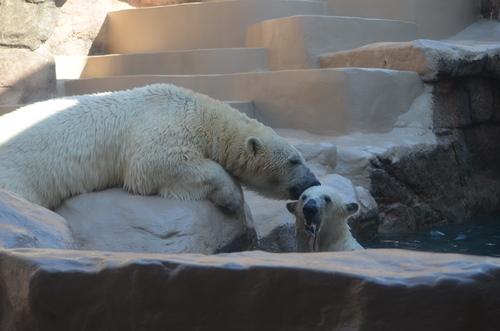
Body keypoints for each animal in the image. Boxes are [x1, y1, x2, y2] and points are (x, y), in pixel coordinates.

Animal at [0, 83, 318, 213]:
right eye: (294, 160)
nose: (313, 182)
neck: (203, 114)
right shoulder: (164, 127)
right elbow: (156, 165)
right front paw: (232, 199)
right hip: (17, 177)